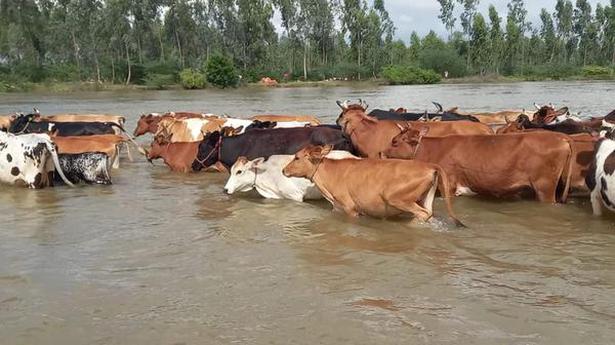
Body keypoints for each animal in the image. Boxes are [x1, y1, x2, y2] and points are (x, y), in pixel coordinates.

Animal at [282, 143, 464, 226]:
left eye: (297, 157)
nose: (284, 170)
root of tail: (430, 165)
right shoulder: (337, 207)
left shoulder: (350, 208)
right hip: (425, 198)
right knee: (428, 213)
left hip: (395, 197)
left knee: (423, 214)